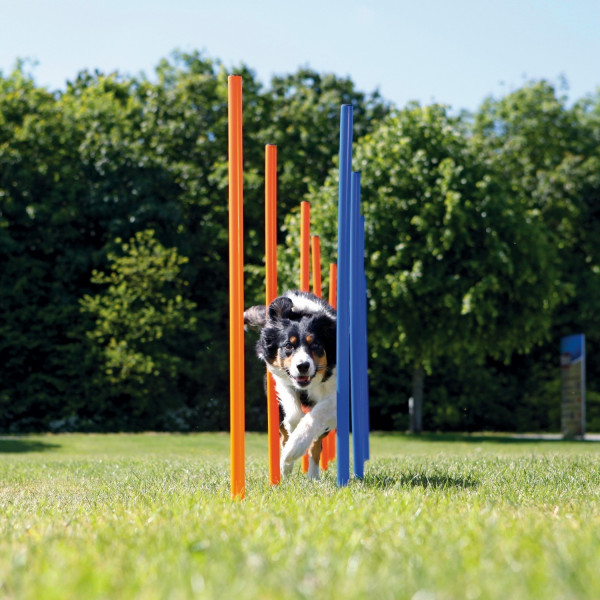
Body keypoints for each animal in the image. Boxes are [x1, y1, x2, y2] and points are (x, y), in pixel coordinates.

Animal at [244, 288, 338, 480]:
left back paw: (313, 476)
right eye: (288, 345)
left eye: (315, 344)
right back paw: (285, 467)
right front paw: (288, 454)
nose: (303, 366)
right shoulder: (281, 379)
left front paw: (295, 448)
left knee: (317, 442)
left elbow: (316, 415)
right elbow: (294, 415)